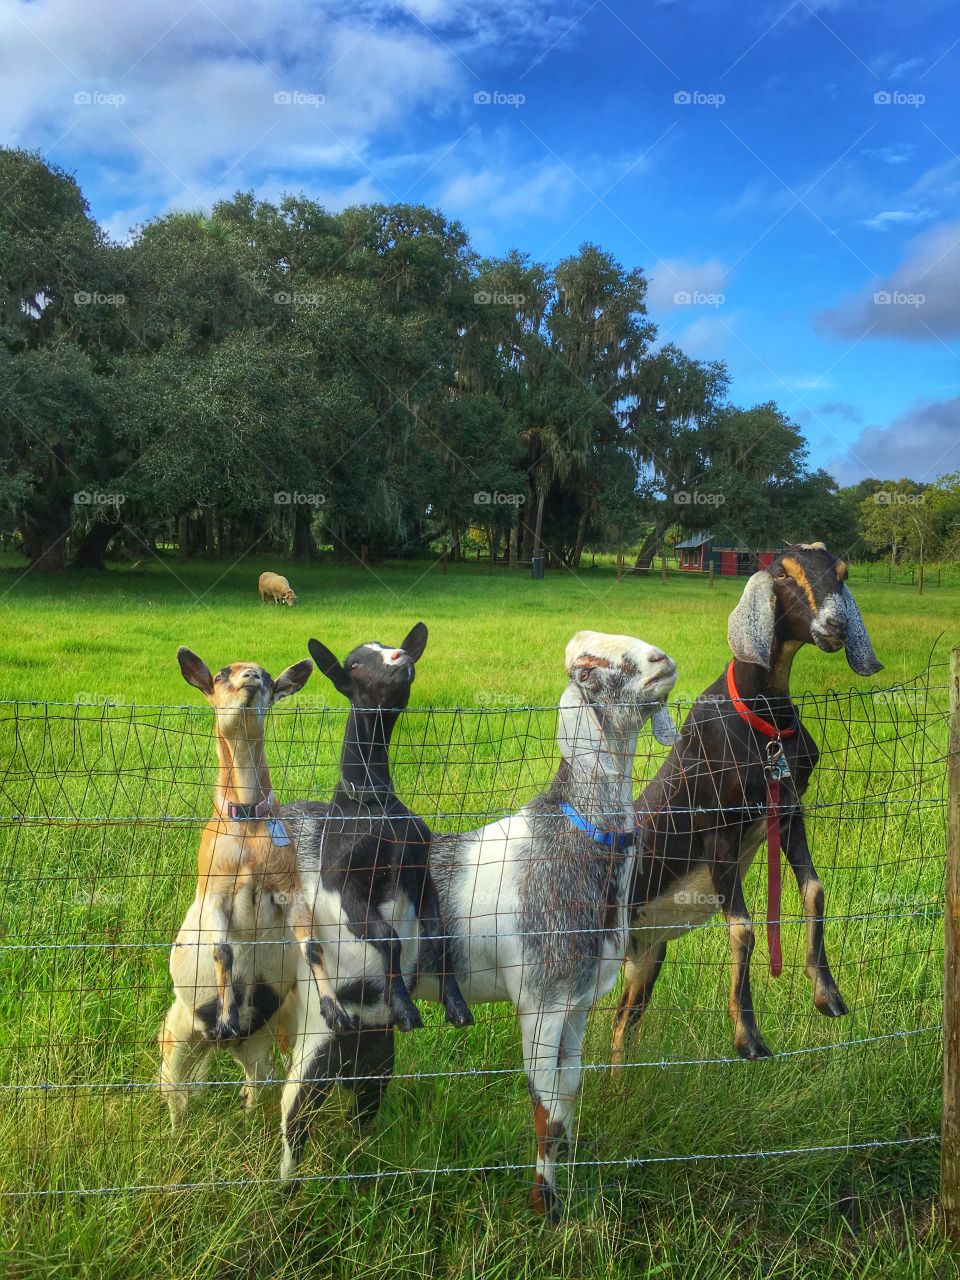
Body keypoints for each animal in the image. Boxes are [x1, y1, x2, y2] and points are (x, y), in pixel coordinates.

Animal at [159, 648, 328, 1127]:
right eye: (219, 675)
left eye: (269, 678)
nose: (251, 678)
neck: (248, 823)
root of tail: (219, 1048)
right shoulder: (214, 892)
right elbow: (223, 950)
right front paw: (228, 1012)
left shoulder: (289, 890)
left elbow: (312, 946)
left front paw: (334, 1006)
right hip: (176, 1035)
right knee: (175, 1091)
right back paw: (176, 1133)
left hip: (258, 1048)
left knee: (256, 1083)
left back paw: (249, 1118)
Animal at [277, 623, 472, 1178]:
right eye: (353, 664)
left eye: (388, 645)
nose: (401, 656)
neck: (372, 804)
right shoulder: (348, 887)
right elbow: (386, 936)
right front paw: (406, 1007)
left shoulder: (419, 875)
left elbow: (437, 934)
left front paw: (454, 1004)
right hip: (312, 1063)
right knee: (294, 1124)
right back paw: (284, 1186)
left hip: (377, 1071)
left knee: (361, 1117)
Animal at [411, 631, 678, 1219]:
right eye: (588, 670)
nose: (662, 660)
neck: (577, 837)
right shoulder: (540, 1002)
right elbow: (547, 1110)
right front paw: (547, 1207)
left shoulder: (578, 1002)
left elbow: (571, 1091)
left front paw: (570, 1176)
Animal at [611, 542, 883, 1067]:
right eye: (785, 575)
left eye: (841, 573)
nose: (836, 625)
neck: (764, 719)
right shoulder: (720, 829)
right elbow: (743, 929)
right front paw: (748, 1037)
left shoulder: (789, 812)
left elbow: (814, 891)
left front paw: (828, 995)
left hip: (646, 952)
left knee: (623, 1020)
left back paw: (618, 1081)